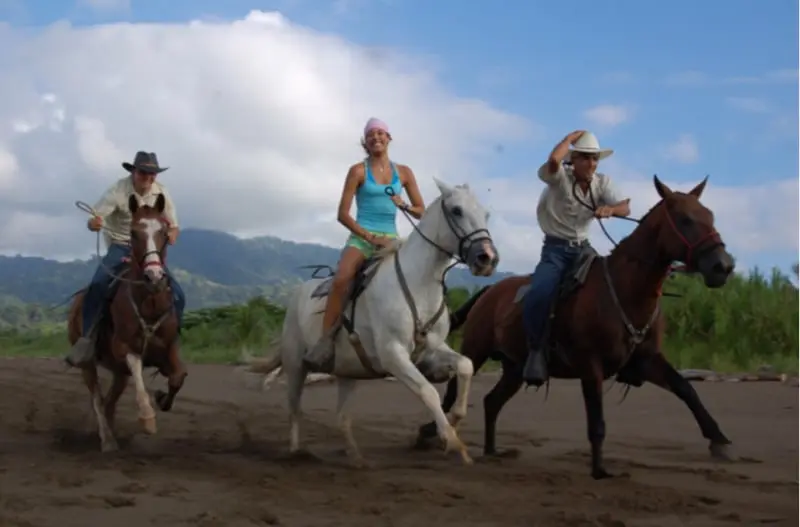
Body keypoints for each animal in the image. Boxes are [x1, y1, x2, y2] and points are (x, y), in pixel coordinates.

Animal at [242, 178, 499, 466]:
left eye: (486, 214)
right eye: (456, 210)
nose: (487, 258)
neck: (418, 284)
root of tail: (297, 295)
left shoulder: (432, 349)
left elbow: (465, 365)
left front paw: (453, 420)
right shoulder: (393, 354)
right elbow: (427, 391)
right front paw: (452, 441)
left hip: (347, 372)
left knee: (342, 417)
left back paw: (356, 458)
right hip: (296, 364)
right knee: (294, 408)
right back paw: (296, 452)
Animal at [414, 175, 737, 479]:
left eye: (709, 215)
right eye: (685, 219)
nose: (723, 266)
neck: (623, 290)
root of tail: (490, 291)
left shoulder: (647, 360)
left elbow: (686, 389)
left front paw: (719, 440)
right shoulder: (590, 365)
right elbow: (597, 421)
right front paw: (599, 470)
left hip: (515, 368)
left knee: (492, 401)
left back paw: (492, 451)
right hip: (476, 349)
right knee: (454, 390)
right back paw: (428, 434)